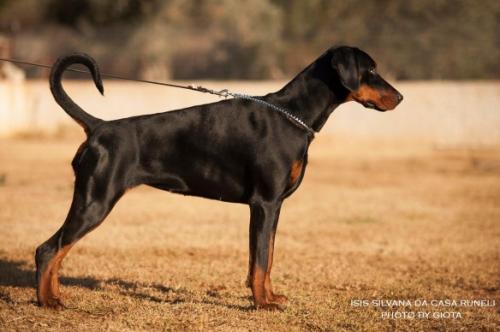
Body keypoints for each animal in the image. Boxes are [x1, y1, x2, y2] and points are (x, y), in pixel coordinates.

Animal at [35, 45, 402, 310]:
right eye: (371, 70)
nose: (400, 97)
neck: (293, 114)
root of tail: (98, 126)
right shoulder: (264, 203)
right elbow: (260, 261)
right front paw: (263, 304)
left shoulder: (274, 207)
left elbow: (266, 257)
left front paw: (270, 297)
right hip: (96, 201)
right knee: (48, 249)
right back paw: (47, 301)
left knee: (56, 250)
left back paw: (55, 296)